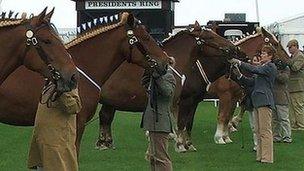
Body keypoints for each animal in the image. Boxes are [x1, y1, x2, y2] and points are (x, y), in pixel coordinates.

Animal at [94, 21, 246, 152]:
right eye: (210, 36)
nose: (235, 48)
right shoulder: (180, 101)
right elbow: (180, 123)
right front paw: (180, 145)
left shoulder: (190, 101)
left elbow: (187, 123)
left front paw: (188, 144)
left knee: (105, 117)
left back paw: (105, 143)